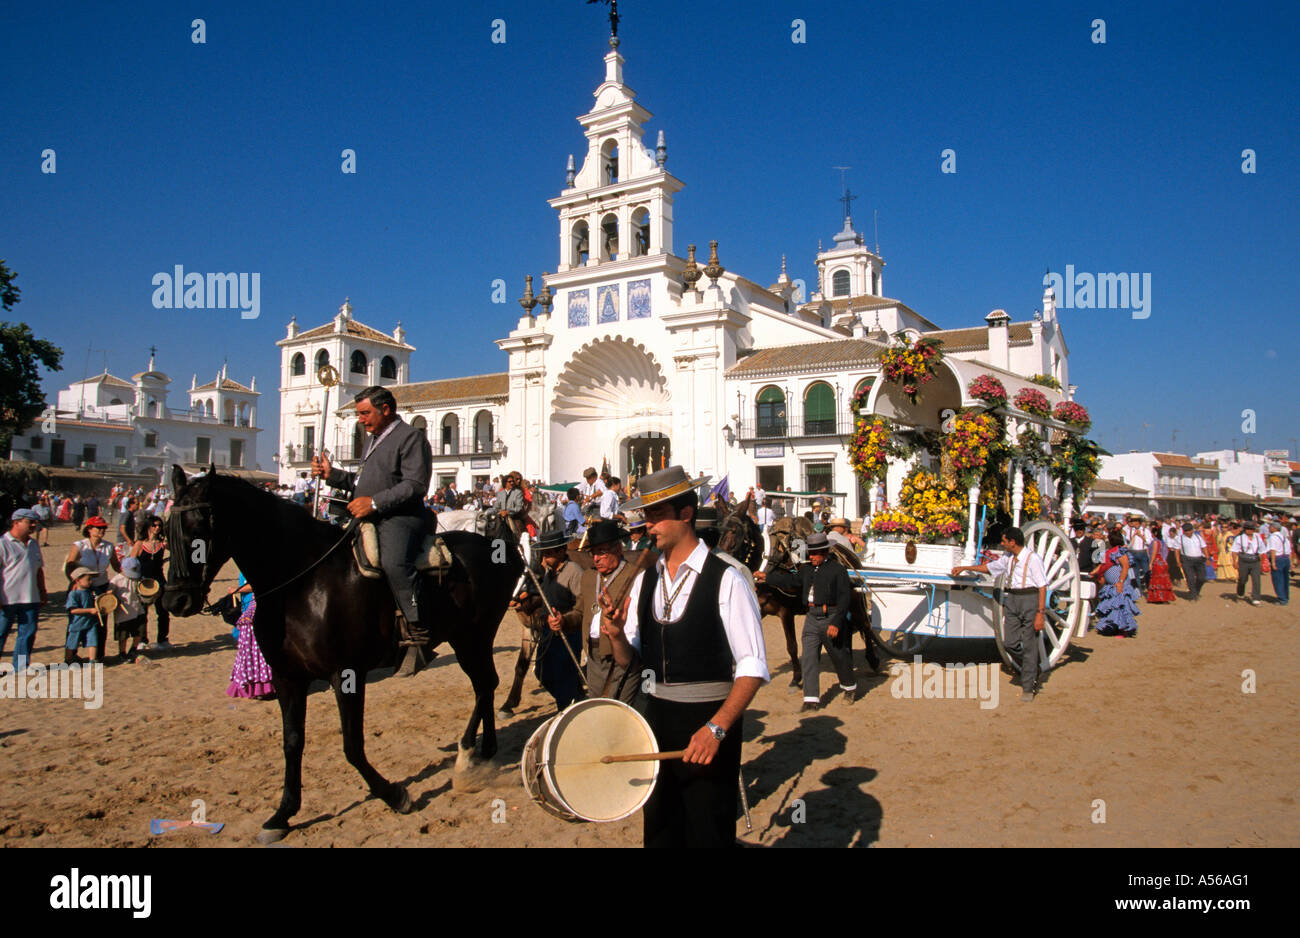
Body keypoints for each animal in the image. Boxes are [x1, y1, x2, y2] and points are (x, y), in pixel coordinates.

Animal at [163, 465, 522, 836]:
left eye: (198, 528)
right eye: (165, 529)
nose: (175, 600)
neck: (301, 581)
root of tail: (503, 550)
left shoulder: (346, 674)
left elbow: (352, 746)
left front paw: (394, 795)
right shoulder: (288, 677)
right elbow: (292, 741)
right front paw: (283, 813)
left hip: (472, 637)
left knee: (484, 684)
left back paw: (466, 757)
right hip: (469, 638)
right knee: (486, 685)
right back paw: (487, 749)